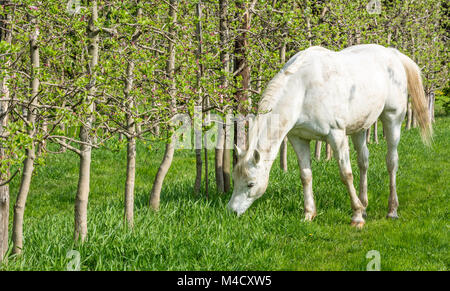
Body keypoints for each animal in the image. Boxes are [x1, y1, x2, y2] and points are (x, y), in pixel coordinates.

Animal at [229, 44, 432, 229]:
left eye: (250, 184)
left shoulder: (336, 136)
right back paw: (365, 205)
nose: (232, 211)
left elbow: (346, 174)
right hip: (359, 128)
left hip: (392, 119)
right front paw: (309, 214)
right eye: (234, 180)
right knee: (363, 162)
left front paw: (356, 216)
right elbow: (305, 175)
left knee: (391, 161)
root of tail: (393, 53)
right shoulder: (298, 138)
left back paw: (391, 210)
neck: (303, 91)